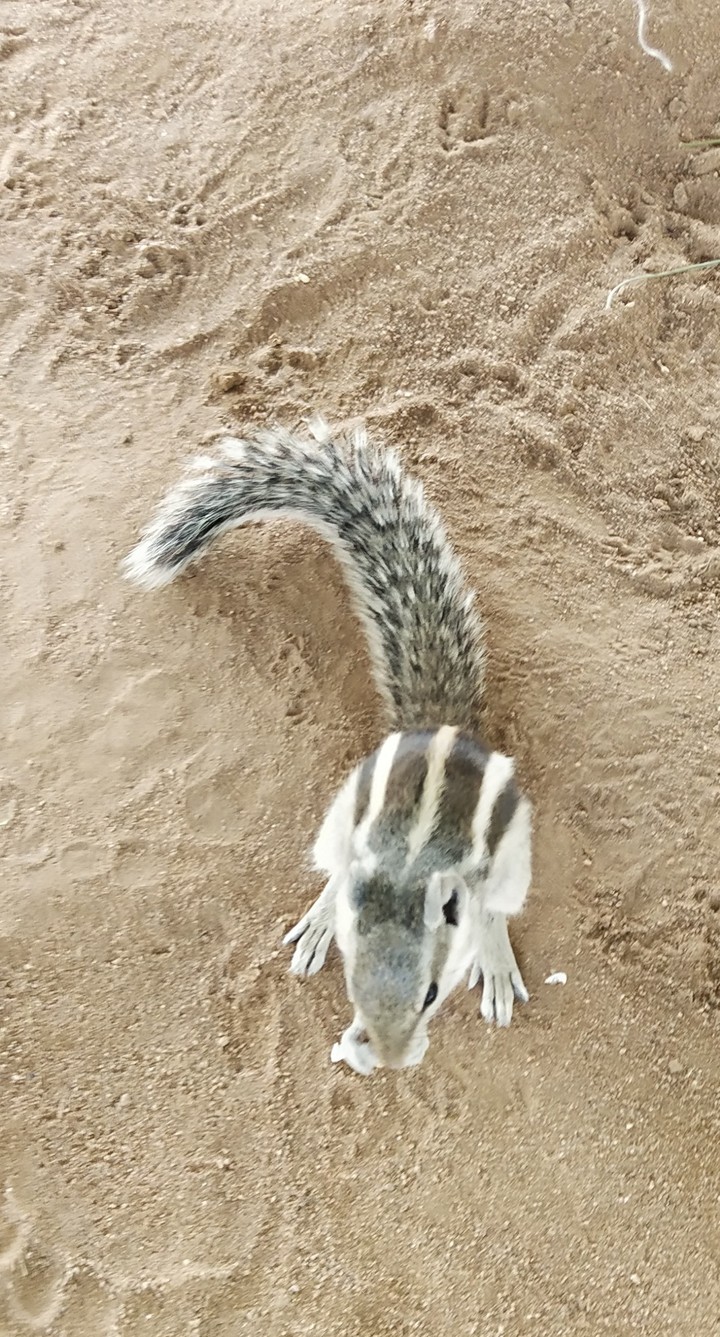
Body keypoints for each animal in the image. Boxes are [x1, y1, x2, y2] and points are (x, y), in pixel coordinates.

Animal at [122, 416, 532, 1076]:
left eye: (431, 994)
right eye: (354, 984)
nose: (388, 1055)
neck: (407, 871)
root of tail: (437, 725)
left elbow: (490, 915)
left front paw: (492, 960)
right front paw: (324, 924)